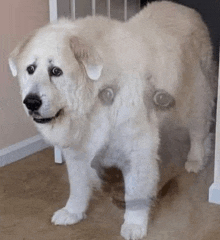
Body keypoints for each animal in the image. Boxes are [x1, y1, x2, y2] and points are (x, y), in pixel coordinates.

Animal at [9, 1, 217, 240]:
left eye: (56, 71)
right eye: (30, 69)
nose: (31, 102)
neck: (94, 98)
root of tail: (185, 8)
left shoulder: (137, 147)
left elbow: (135, 191)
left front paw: (134, 225)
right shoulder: (78, 149)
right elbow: (78, 184)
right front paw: (73, 212)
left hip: (193, 99)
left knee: (199, 132)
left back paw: (195, 160)